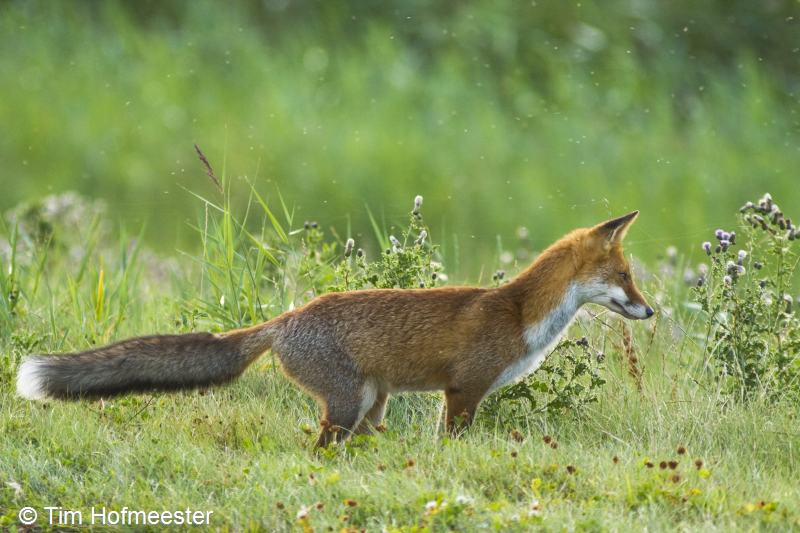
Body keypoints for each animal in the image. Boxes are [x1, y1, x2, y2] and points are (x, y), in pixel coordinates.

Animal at [17, 210, 648, 446]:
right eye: (625, 277)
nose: (651, 312)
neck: (521, 315)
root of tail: (288, 317)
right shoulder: (463, 389)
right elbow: (451, 442)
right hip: (346, 405)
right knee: (318, 450)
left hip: (370, 405)